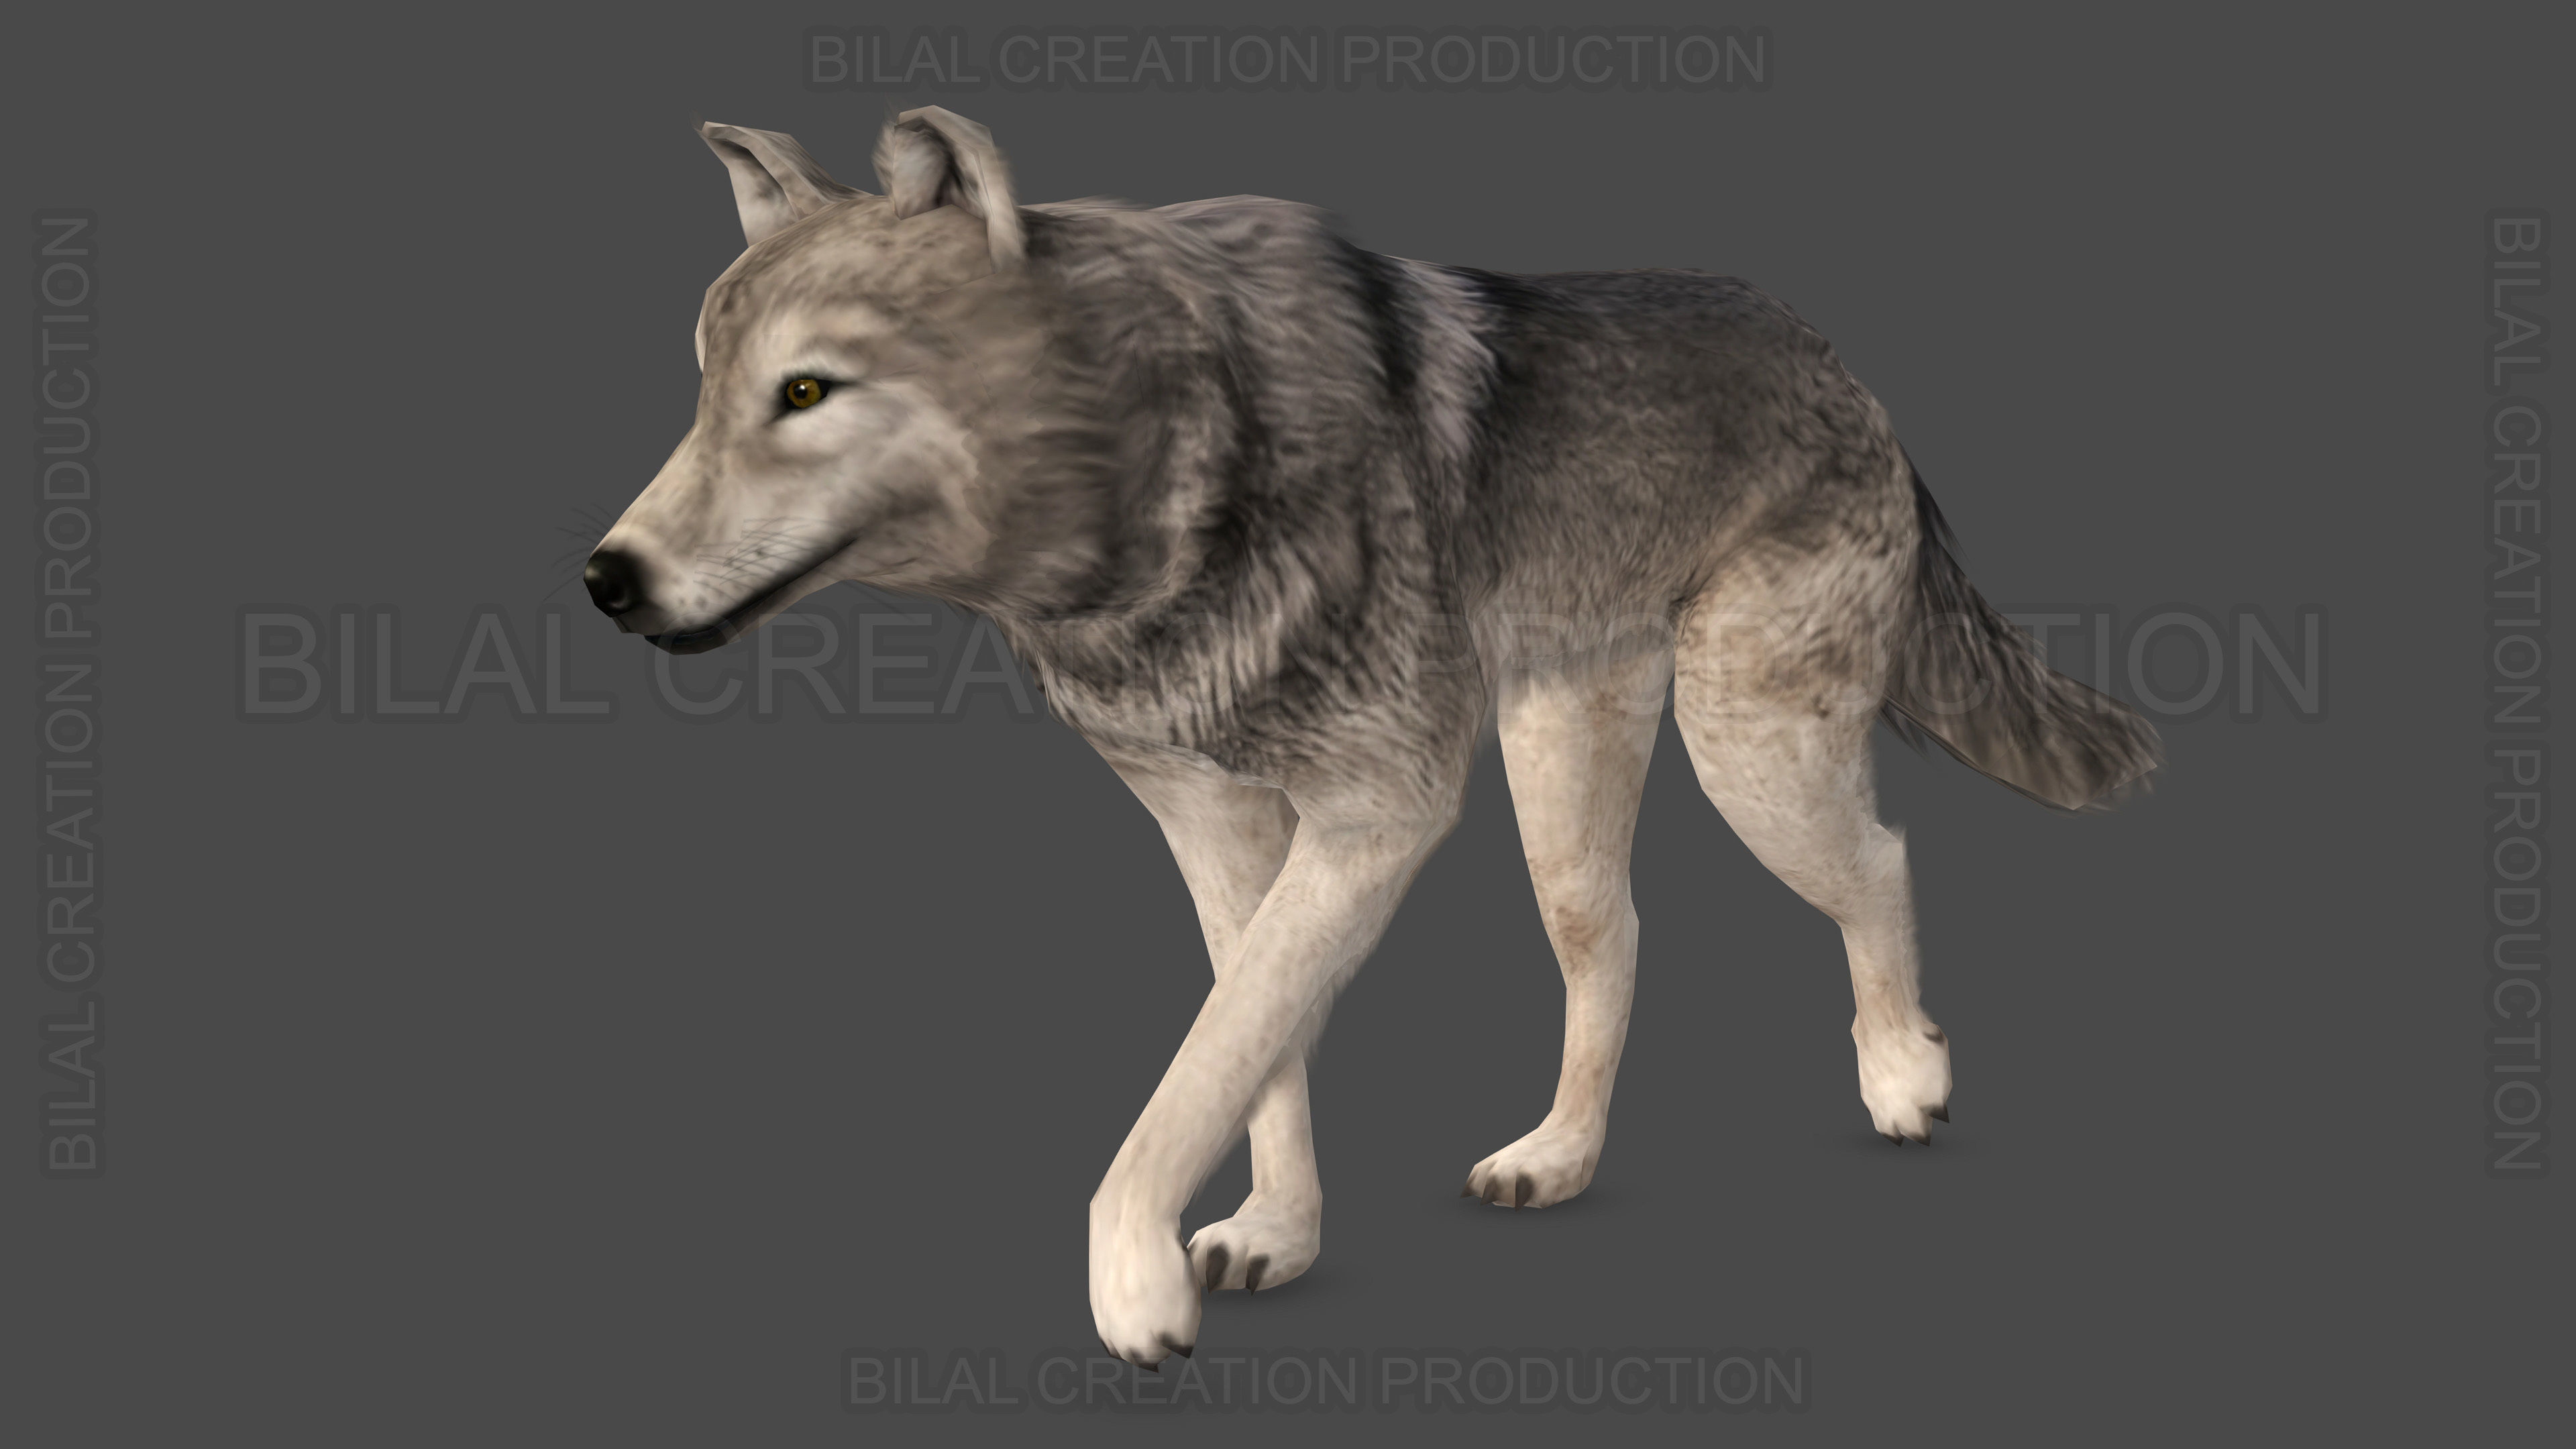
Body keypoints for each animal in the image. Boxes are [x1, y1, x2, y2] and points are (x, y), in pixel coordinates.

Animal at [583, 107, 2159, 1367]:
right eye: (705, 390)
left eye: (805, 392)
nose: (606, 579)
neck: (1168, 476)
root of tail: (1837, 353)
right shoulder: (1218, 820)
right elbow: (1255, 1039)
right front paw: (1272, 1234)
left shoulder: (1378, 812)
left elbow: (1200, 1065)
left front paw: (1131, 1284)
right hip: (1567, 796)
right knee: (1617, 937)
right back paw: (1558, 1157)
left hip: (1750, 755)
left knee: (1884, 856)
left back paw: (1905, 1078)